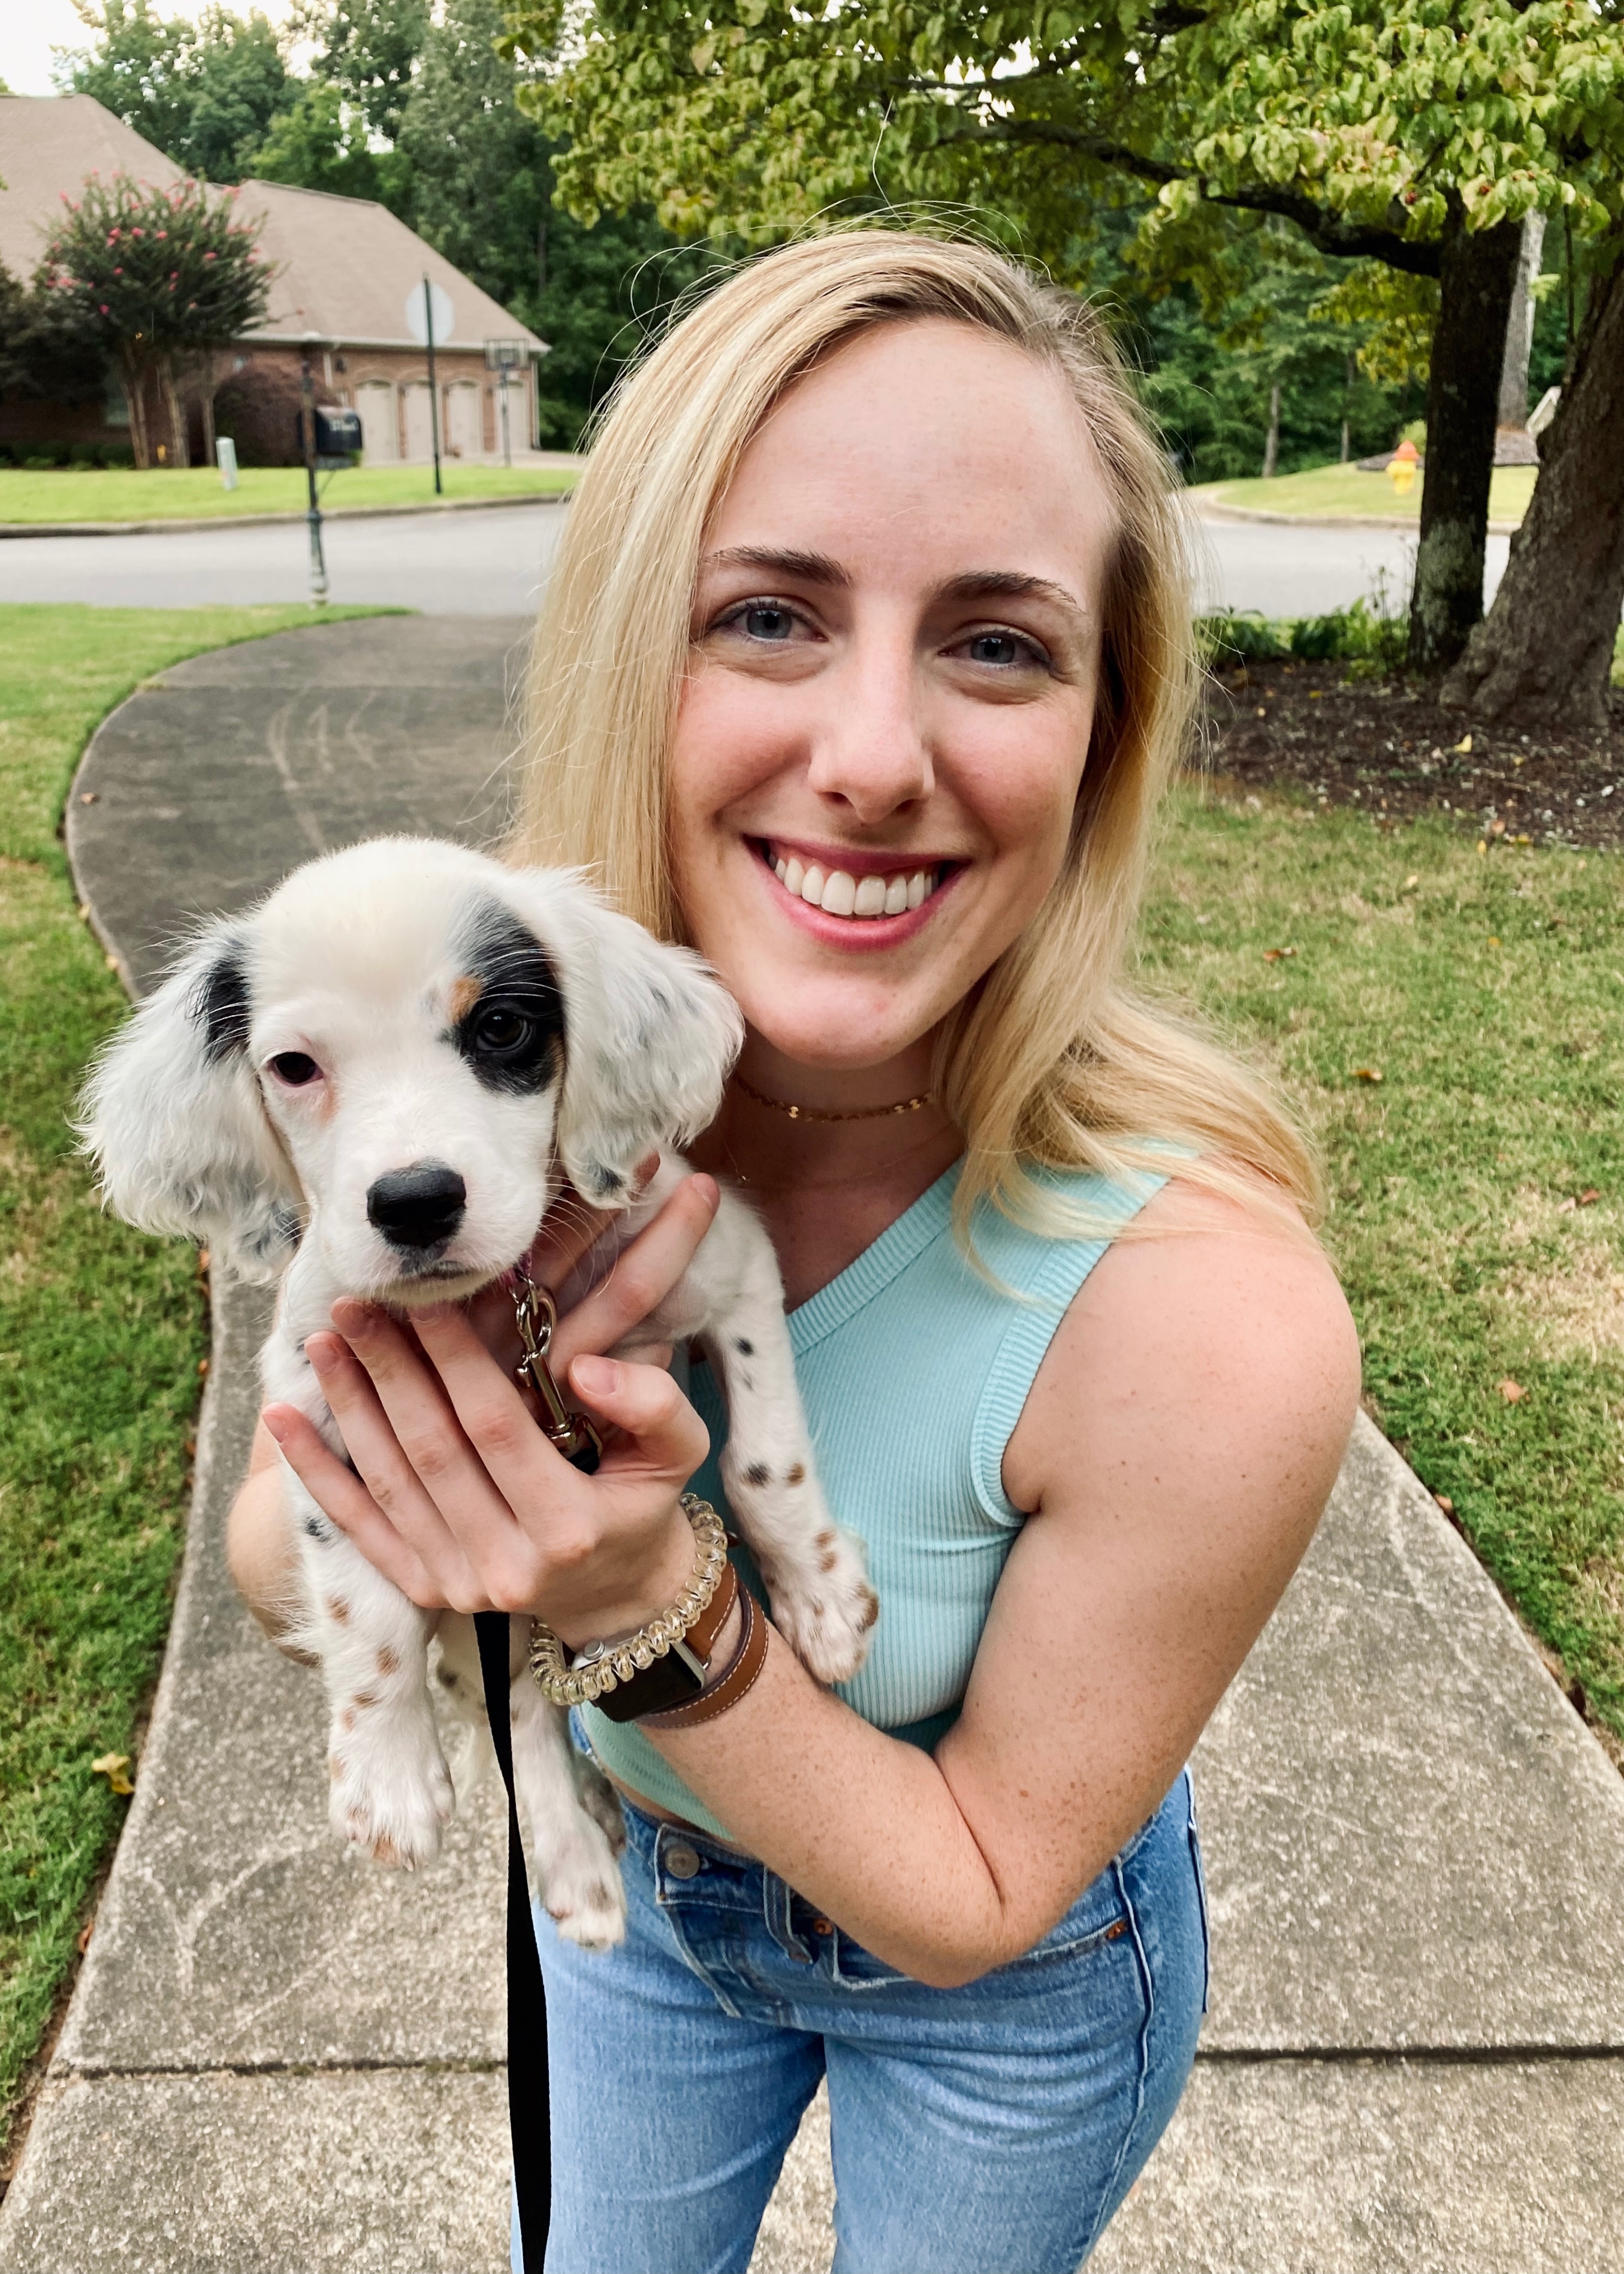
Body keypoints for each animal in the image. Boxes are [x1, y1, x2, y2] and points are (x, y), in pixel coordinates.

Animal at [79, 845, 873, 1946]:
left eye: (498, 1027)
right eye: (294, 1067)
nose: (413, 1202)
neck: (495, 1303)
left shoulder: (728, 1265)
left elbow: (762, 1466)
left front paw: (820, 1597)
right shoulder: (316, 1400)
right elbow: (361, 1605)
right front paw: (383, 1773)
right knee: (528, 1721)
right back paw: (574, 1861)